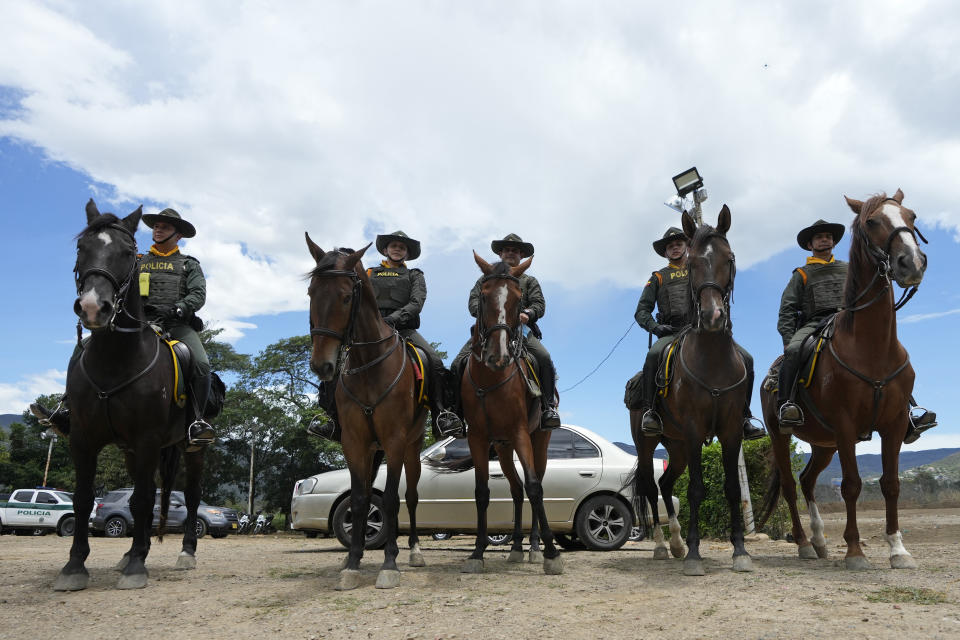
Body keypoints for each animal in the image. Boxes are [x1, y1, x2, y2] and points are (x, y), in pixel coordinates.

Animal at [55, 199, 204, 592]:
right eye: (82, 248)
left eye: (126, 253)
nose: (94, 307)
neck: (115, 360)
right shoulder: (83, 438)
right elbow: (83, 499)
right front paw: (74, 566)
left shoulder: (148, 438)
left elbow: (140, 500)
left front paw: (137, 565)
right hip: (130, 451)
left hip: (193, 446)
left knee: (192, 495)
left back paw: (186, 552)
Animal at [306, 235, 430, 592]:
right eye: (311, 293)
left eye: (347, 296)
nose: (322, 365)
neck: (369, 366)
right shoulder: (355, 442)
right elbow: (360, 500)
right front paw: (352, 563)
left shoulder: (395, 440)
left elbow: (389, 499)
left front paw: (390, 564)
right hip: (373, 452)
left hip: (412, 448)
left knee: (411, 496)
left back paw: (414, 551)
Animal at [436, 254, 564, 576]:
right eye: (483, 295)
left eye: (518, 300)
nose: (499, 355)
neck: (490, 380)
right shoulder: (479, 439)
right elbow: (482, 492)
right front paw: (477, 552)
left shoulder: (520, 433)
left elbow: (535, 487)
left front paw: (551, 553)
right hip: (504, 448)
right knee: (516, 490)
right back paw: (517, 548)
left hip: (538, 440)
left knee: (534, 483)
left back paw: (533, 548)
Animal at [632, 208, 756, 576]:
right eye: (692, 262)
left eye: (729, 259)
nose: (714, 316)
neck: (712, 359)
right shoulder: (693, 428)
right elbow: (697, 489)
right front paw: (695, 555)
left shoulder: (730, 430)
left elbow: (732, 488)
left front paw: (740, 551)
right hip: (648, 442)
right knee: (649, 485)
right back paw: (662, 546)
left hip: (677, 448)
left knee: (665, 483)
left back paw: (676, 543)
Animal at [756, 188, 928, 568]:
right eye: (872, 221)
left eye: (911, 216)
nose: (912, 262)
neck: (872, 348)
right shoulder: (847, 425)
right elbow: (851, 485)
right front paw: (854, 551)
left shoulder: (893, 425)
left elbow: (890, 484)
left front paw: (898, 549)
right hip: (783, 435)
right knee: (790, 486)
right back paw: (804, 544)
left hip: (824, 443)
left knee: (807, 481)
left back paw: (820, 541)